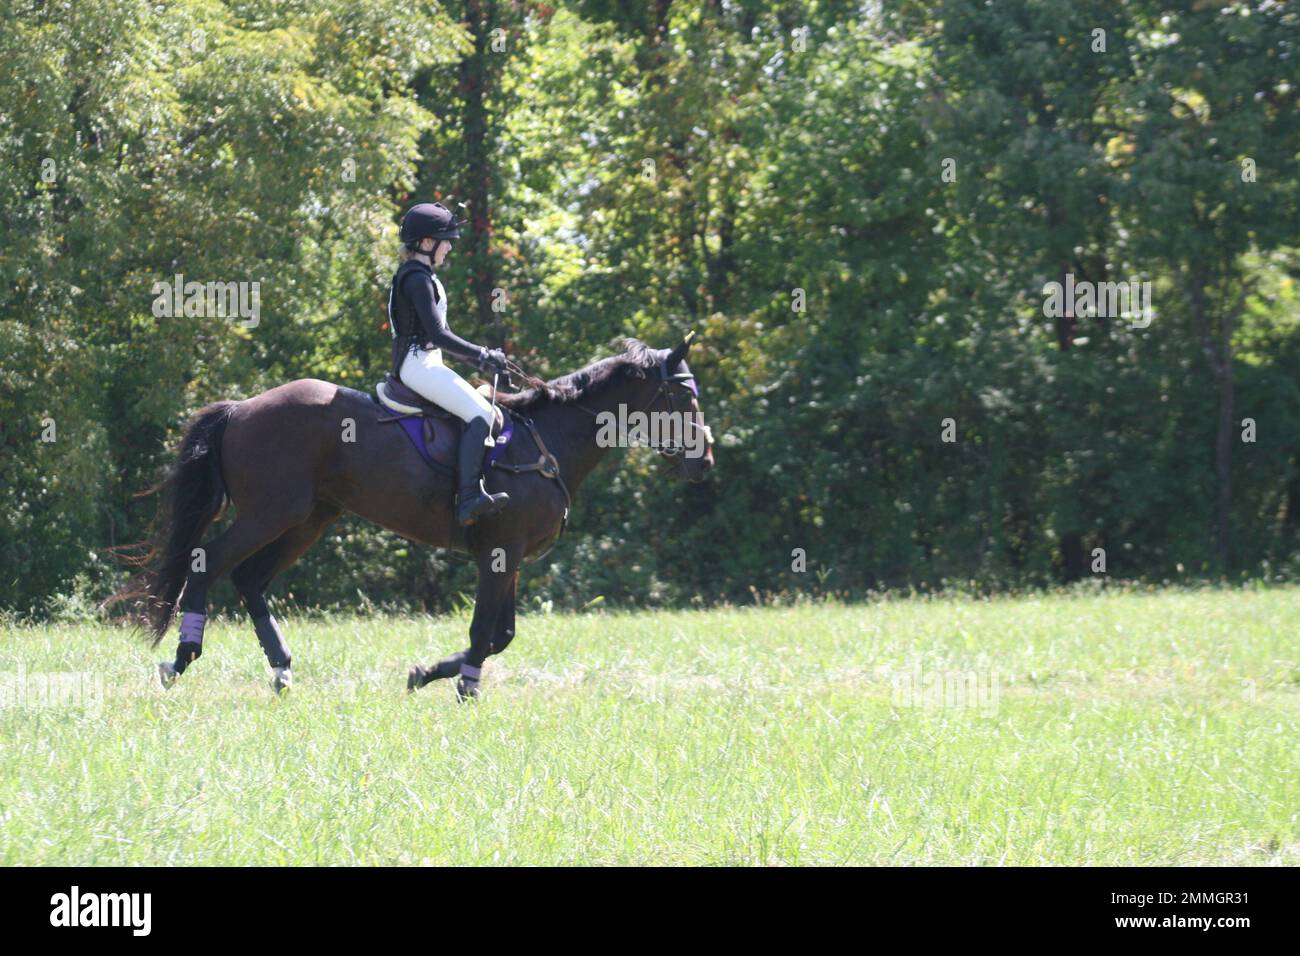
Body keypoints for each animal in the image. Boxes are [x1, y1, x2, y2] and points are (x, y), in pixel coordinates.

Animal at [111, 335, 717, 697]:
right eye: (685, 401)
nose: (704, 464)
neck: (548, 442)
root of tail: (240, 408)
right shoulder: (500, 553)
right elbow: (484, 630)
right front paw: (464, 688)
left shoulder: (512, 558)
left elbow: (501, 634)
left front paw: (427, 673)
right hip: (270, 513)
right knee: (208, 562)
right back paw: (181, 659)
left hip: (309, 519)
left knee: (248, 578)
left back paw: (281, 669)